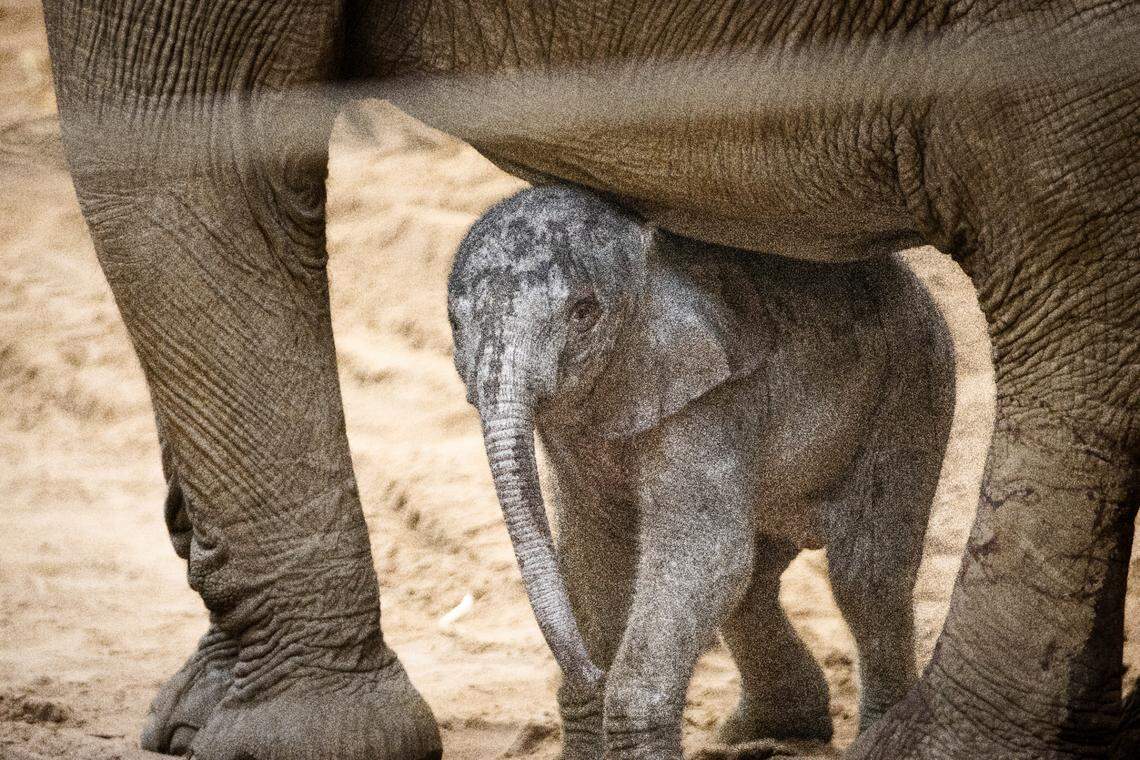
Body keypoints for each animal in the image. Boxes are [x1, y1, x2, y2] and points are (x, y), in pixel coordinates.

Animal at [447, 184, 956, 757]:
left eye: (583, 313)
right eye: (455, 325)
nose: (593, 674)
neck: (645, 249)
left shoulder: (711, 399)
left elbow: (699, 551)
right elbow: (593, 549)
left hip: (913, 384)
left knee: (865, 577)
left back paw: (871, 734)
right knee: (754, 584)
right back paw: (771, 732)